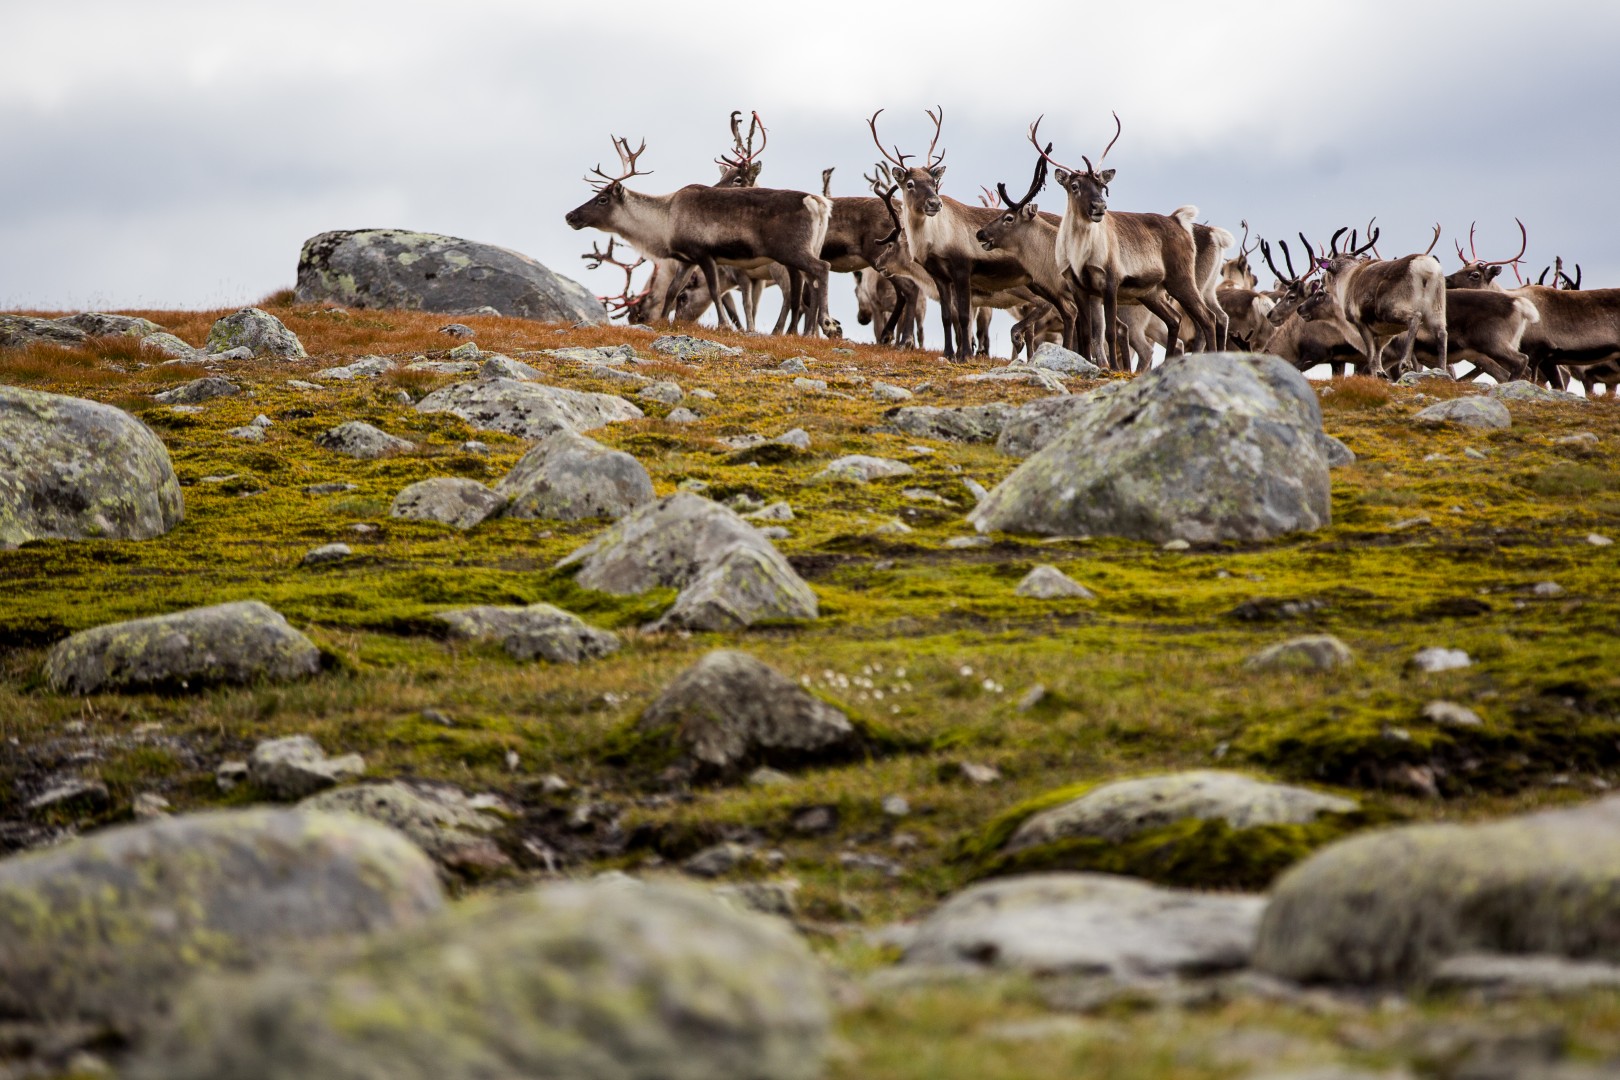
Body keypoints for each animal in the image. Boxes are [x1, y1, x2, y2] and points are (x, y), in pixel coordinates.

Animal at [564, 133, 833, 337]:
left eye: (602, 199)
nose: (569, 216)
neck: (666, 220)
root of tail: (818, 203)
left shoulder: (704, 254)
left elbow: (714, 291)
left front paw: (723, 326)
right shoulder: (687, 259)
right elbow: (672, 291)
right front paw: (664, 321)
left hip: (792, 252)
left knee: (821, 269)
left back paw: (824, 324)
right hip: (799, 253)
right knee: (805, 285)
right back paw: (799, 332)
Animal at [1027, 114, 1218, 369]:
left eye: (1102, 185)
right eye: (1075, 186)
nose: (1099, 206)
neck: (1079, 253)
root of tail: (1178, 220)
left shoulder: (1110, 281)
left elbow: (1109, 333)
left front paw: (1114, 369)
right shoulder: (1079, 287)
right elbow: (1085, 333)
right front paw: (1087, 362)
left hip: (1181, 279)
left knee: (1208, 318)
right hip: (1151, 292)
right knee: (1174, 319)